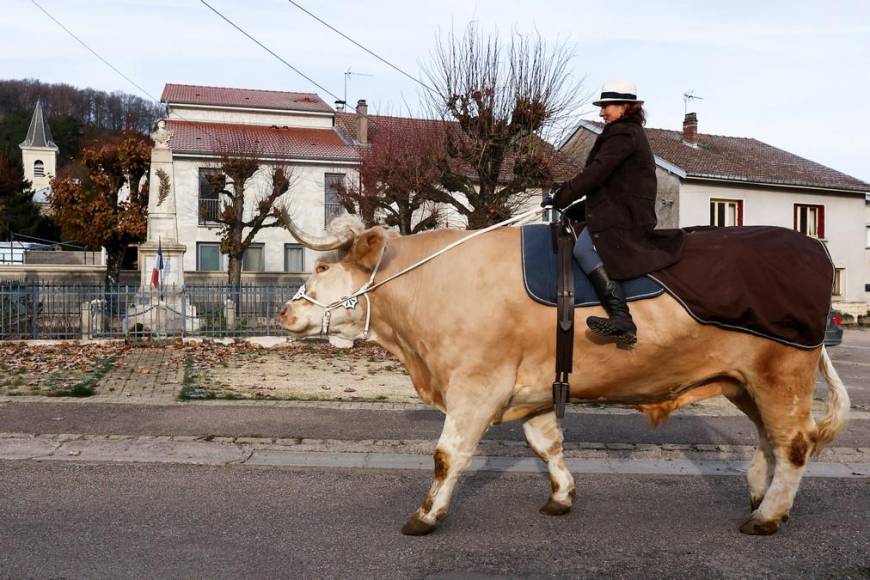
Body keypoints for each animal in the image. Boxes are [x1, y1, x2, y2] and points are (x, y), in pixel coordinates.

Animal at [278, 215, 852, 536]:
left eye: (322, 268)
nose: (284, 312)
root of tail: (811, 246)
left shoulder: (475, 386)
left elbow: (448, 456)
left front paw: (425, 516)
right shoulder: (531, 390)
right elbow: (546, 445)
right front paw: (561, 497)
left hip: (784, 372)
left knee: (794, 444)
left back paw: (765, 518)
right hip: (748, 381)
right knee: (771, 440)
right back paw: (761, 496)